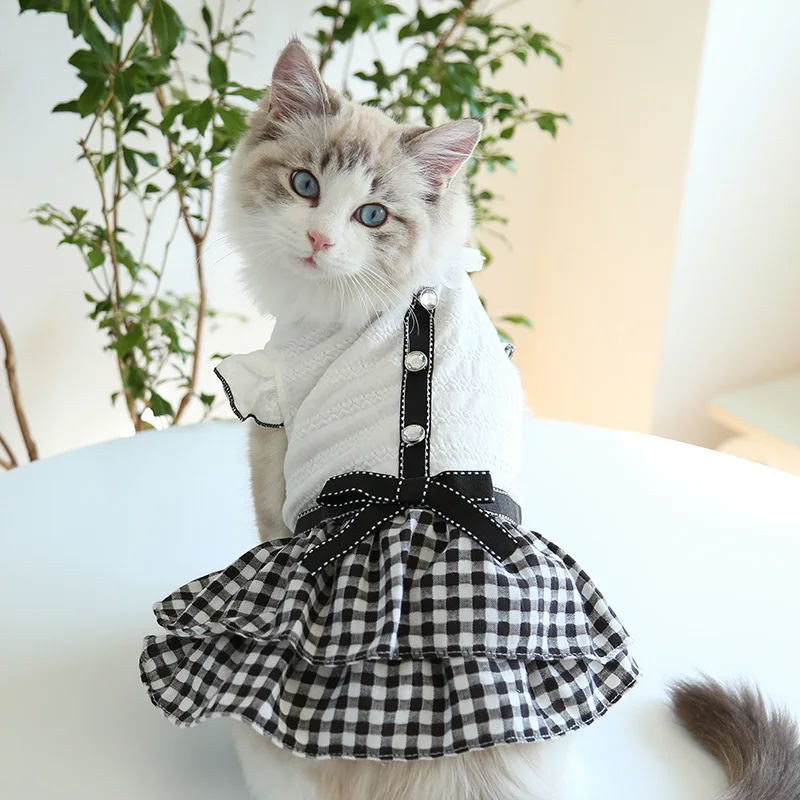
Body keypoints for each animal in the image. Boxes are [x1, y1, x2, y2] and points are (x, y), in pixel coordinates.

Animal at [222, 39, 800, 800]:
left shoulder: (274, 428)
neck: (397, 297)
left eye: (372, 216)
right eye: (304, 185)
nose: (319, 240)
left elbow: (267, 522)